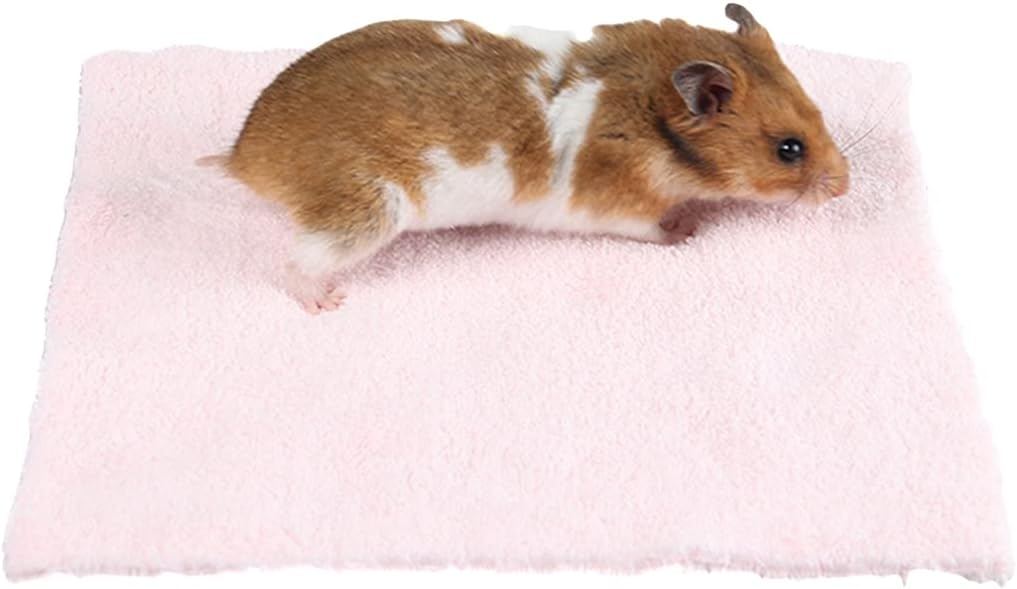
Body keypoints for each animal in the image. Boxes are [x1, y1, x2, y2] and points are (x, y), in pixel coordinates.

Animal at [216, 4, 848, 313]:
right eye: (788, 149)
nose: (845, 186)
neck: (654, 119)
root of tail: (244, 155)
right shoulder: (618, 210)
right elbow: (655, 228)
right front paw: (689, 229)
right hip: (362, 213)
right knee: (295, 264)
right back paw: (327, 303)